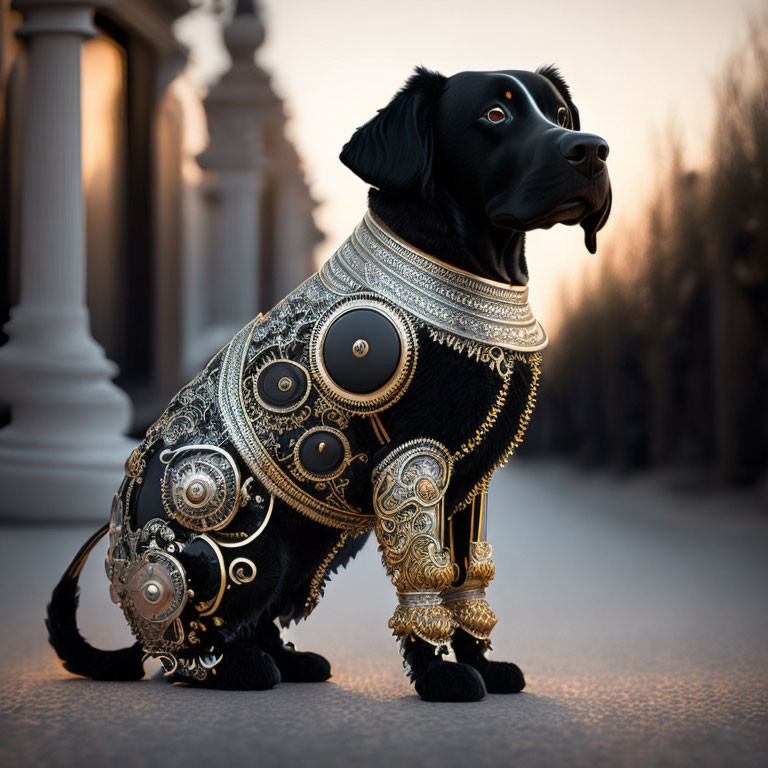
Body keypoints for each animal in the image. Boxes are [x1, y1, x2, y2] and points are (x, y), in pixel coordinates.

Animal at [48, 66, 612, 704]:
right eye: (496, 114)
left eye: (561, 115)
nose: (592, 149)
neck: (476, 272)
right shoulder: (413, 463)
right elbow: (424, 572)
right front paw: (441, 676)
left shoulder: (472, 481)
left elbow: (469, 576)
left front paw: (484, 666)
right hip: (249, 552)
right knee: (187, 647)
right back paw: (241, 669)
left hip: (313, 551)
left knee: (252, 622)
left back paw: (286, 660)